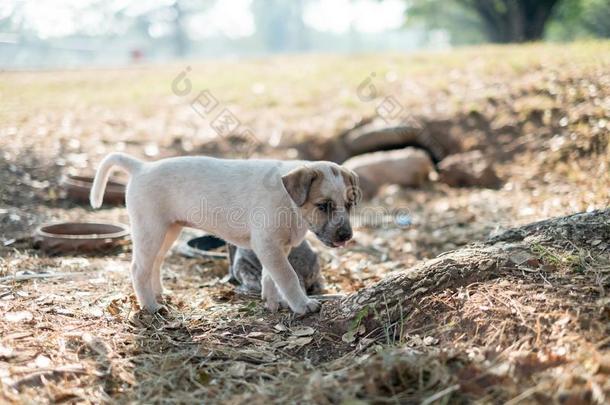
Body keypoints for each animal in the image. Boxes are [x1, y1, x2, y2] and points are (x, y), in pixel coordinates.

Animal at [89, 153, 356, 314]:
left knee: (155, 264)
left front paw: (272, 302)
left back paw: (158, 294)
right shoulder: (268, 245)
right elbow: (288, 276)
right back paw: (151, 307)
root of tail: (141, 167)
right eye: (323, 206)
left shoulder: (278, 247)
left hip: (167, 231)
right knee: (138, 269)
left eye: (350, 204)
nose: (346, 236)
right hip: (149, 230)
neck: (289, 201)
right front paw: (302, 305)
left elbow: (270, 276)